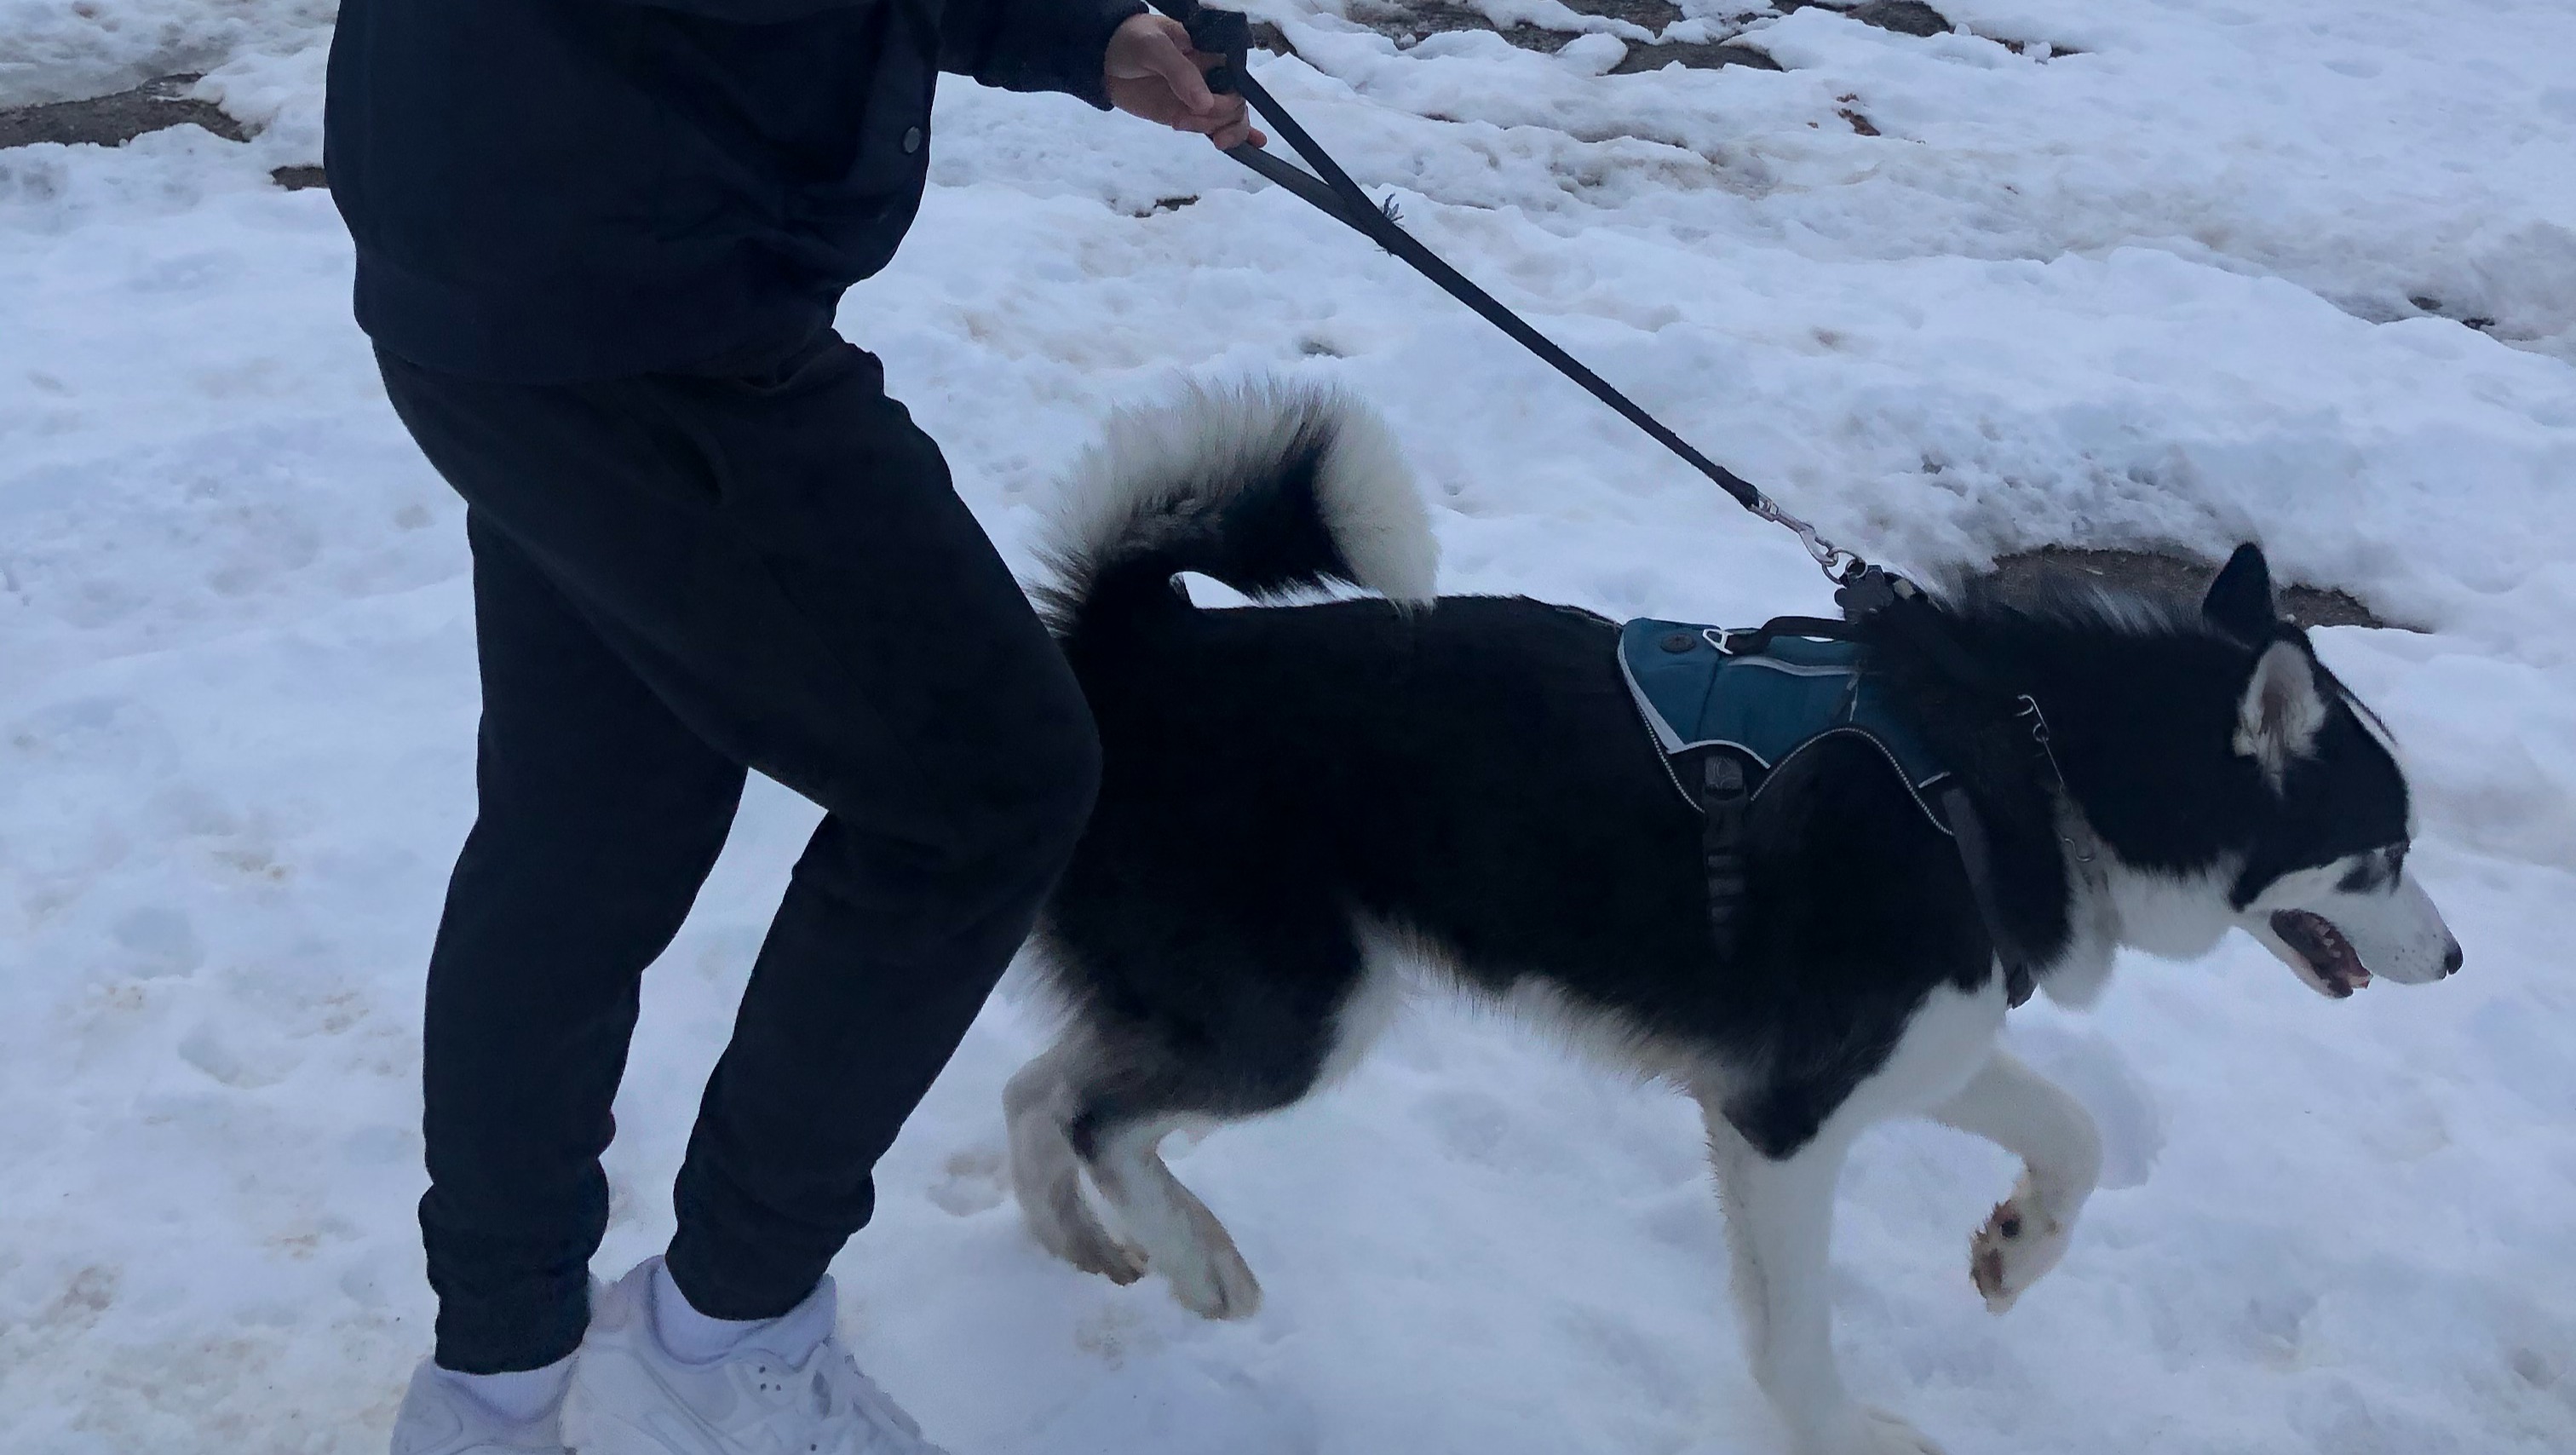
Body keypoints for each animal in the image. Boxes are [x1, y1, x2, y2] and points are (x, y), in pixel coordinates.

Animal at [1001, 381, 2462, 1455]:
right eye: (2385, 853)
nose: (2454, 959)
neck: (2035, 768)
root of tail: (1144, 649)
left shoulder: (1917, 1052)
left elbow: (2077, 1135)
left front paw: (2017, 1252)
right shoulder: (1782, 1117)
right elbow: (1793, 1335)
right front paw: (1846, 1435)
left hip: (1234, 1006)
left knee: (1042, 1089)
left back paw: (1082, 1241)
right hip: (1302, 1018)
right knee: (1096, 1115)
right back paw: (1197, 1262)